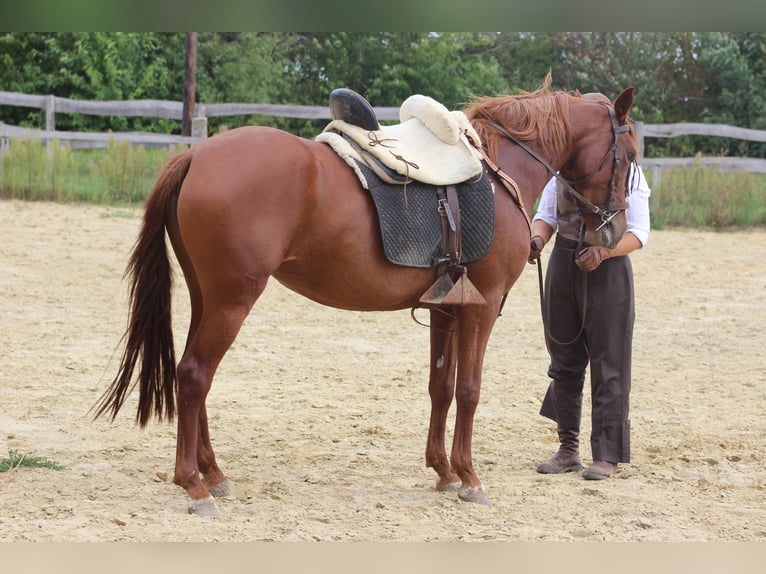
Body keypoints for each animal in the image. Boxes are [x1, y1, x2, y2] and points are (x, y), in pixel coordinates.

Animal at [94, 77, 636, 516]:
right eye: (629, 156)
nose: (612, 234)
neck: (499, 168)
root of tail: (195, 155)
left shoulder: (448, 308)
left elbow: (441, 387)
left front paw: (443, 471)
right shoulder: (481, 308)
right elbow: (469, 390)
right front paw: (470, 478)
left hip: (208, 298)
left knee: (194, 376)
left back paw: (214, 473)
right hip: (231, 301)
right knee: (194, 375)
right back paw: (195, 486)